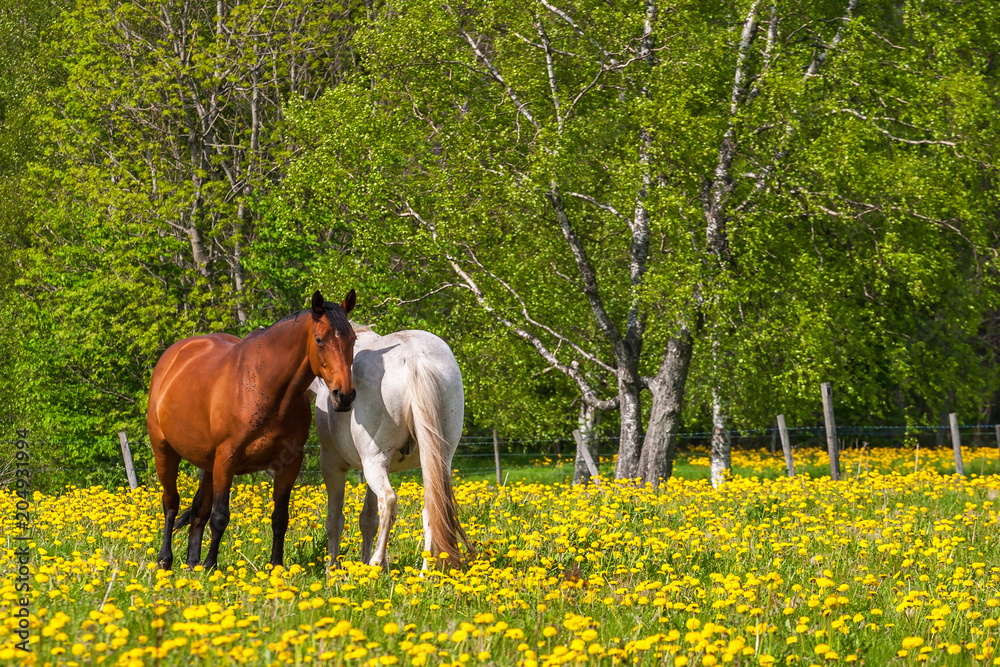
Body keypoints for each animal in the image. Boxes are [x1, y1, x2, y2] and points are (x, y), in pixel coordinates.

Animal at [146, 290, 357, 570]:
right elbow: (220, 516)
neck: (263, 386)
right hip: (165, 451)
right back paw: (165, 560)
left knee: (199, 509)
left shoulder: (289, 464)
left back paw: (193, 563)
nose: (344, 396)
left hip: (208, 464)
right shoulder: (226, 460)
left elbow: (280, 517)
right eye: (320, 339)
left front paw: (275, 566)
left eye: (353, 339)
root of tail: (173, 356)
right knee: (171, 503)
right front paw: (211, 565)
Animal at [311, 326, 472, 571]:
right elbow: (368, 519)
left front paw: (332, 570)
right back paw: (424, 573)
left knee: (388, 500)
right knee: (431, 509)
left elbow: (335, 521)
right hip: (434, 461)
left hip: (374, 462)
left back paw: (376, 561)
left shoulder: (333, 464)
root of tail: (414, 357)